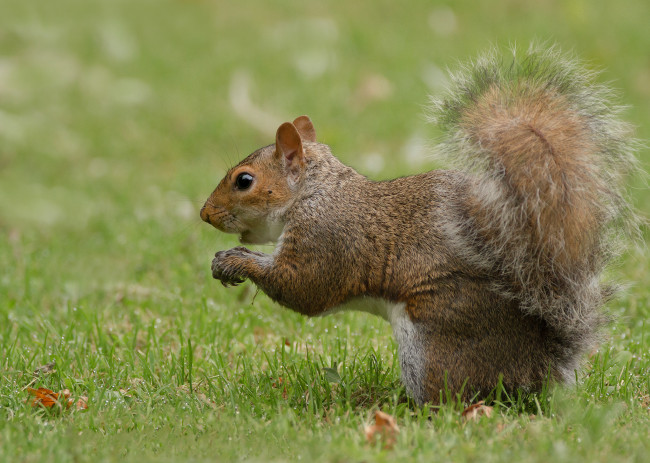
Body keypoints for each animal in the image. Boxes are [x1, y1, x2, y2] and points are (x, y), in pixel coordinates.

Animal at [200, 45, 636, 404]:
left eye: (244, 180)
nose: (205, 214)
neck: (315, 192)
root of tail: (538, 369)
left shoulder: (326, 238)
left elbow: (304, 287)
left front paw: (235, 260)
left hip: (434, 338)